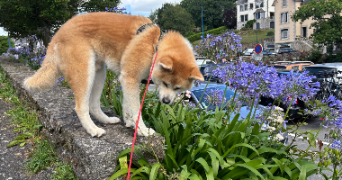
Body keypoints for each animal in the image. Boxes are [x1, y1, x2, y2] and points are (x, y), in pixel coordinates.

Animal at [24, 12, 206, 136]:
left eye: (178, 88)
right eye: (165, 83)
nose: (166, 102)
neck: (155, 45)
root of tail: (58, 32)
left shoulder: (127, 80)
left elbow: (127, 106)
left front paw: (130, 123)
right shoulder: (130, 78)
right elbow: (136, 109)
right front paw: (142, 130)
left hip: (98, 73)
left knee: (93, 105)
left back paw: (106, 120)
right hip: (84, 72)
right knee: (81, 107)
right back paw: (93, 129)